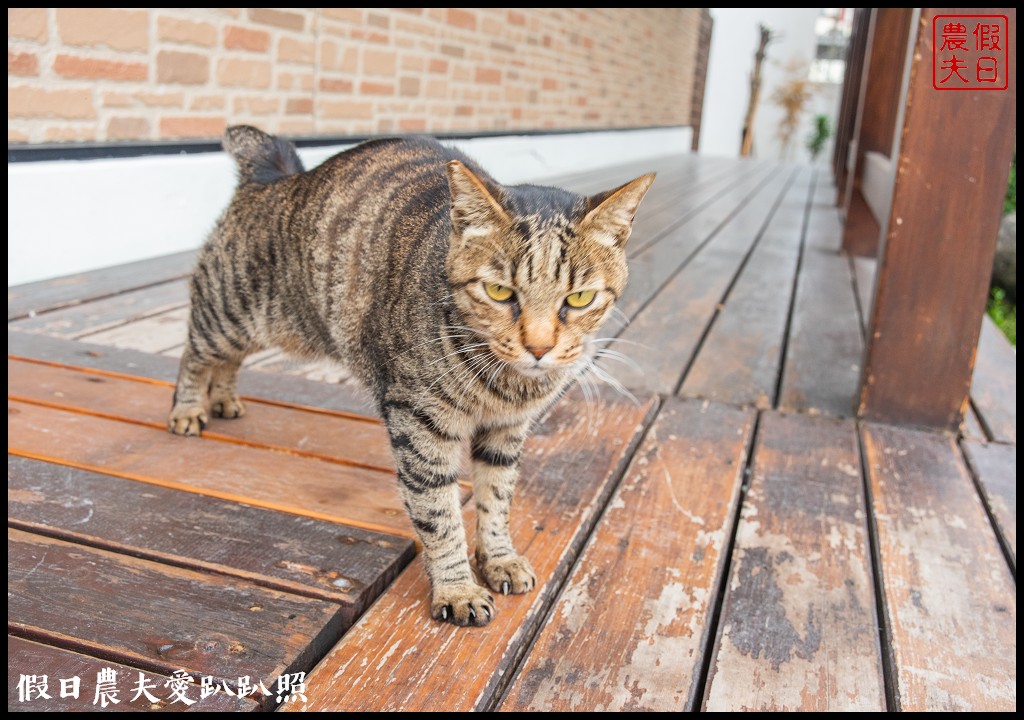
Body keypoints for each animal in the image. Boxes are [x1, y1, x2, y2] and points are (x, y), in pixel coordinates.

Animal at [165, 126, 647, 626]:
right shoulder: (419, 424)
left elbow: (496, 500)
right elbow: (439, 515)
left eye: (579, 298)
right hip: (231, 313)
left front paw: (499, 558)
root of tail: (274, 176)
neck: (506, 387)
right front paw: (458, 588)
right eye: (499, 292)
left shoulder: (506, 433)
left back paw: (224, 399)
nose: (539, 347)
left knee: (226, 363)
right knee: (195, 351)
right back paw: (188, 408)